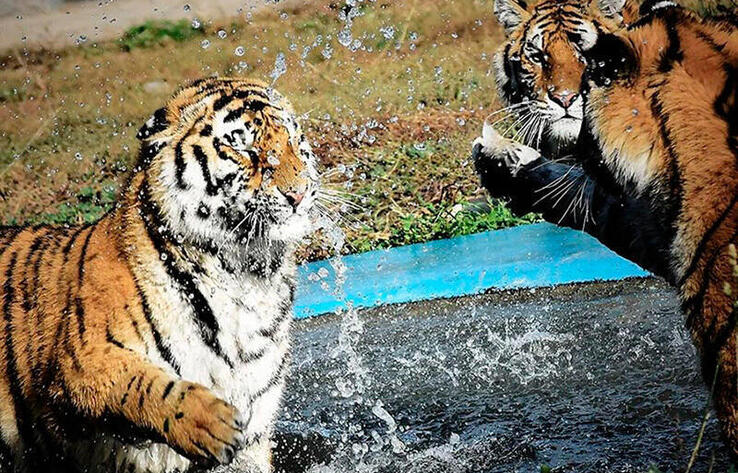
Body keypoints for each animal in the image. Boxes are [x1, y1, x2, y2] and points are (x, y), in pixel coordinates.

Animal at [0, 77, 320, 472]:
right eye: (241, 148)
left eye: (293, 139)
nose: (299, 194)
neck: (246, 274)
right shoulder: (77, 366)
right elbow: (141, 383)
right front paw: (210, 424)